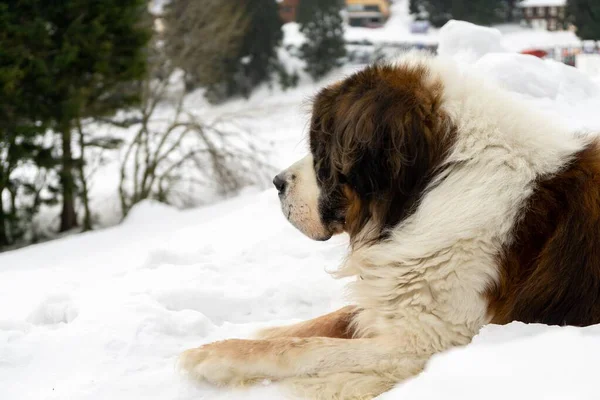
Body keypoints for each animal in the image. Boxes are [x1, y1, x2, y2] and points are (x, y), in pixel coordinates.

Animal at [177, 51, 600, 398]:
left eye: (320, 151)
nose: (278, 182)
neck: (430, 187)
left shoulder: (431, 341)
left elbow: (309, 349)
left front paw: (216, 356)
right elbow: (331, 320)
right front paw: (262, 331)